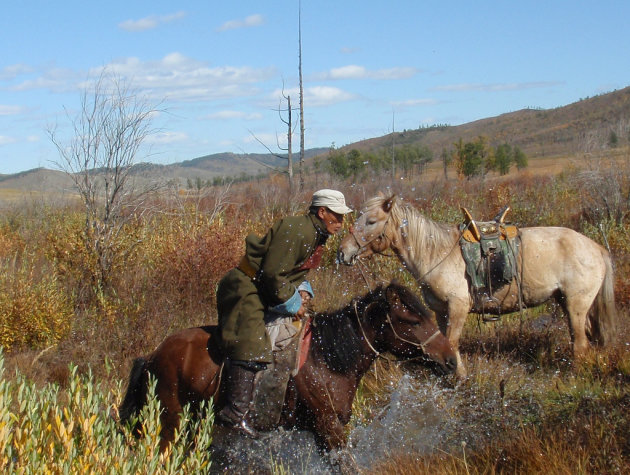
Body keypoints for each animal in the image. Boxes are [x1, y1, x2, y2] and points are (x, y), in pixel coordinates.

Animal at [118, 282, 456, 454]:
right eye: (412, 319)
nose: (450, 360)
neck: (328, 358)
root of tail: (153, 355)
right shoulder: (329, 430)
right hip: (169, 424)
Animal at [338, 195, 620, 378]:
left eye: (371, 221)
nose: (343, 253)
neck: (436, 252)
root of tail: (596, 248)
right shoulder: (441, 311)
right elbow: (444, 340)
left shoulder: (458, 306)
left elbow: (452, 341)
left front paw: (459, 376)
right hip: (569, 301)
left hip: (576, 304)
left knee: (580, 343)